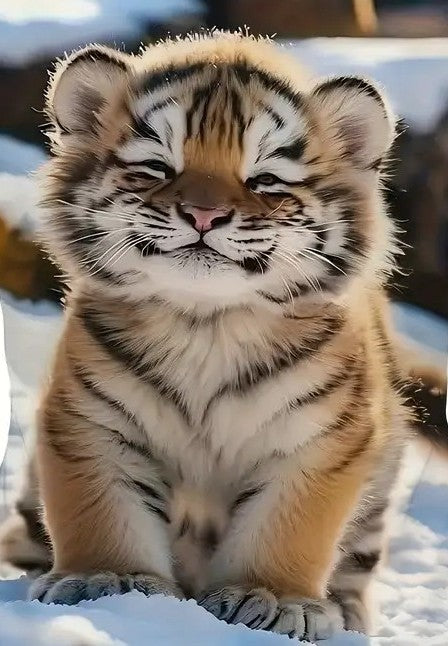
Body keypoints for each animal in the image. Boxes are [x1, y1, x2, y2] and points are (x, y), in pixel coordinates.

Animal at [0, 31, 446, 641]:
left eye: (266, 181)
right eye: (157, 168)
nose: (203, 215)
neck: (205, 323)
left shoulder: (320, 437)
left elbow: (287, 528)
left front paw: (272, 598)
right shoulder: (92, 423)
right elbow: (103, 511)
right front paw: (107, 581)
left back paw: (345, 612)